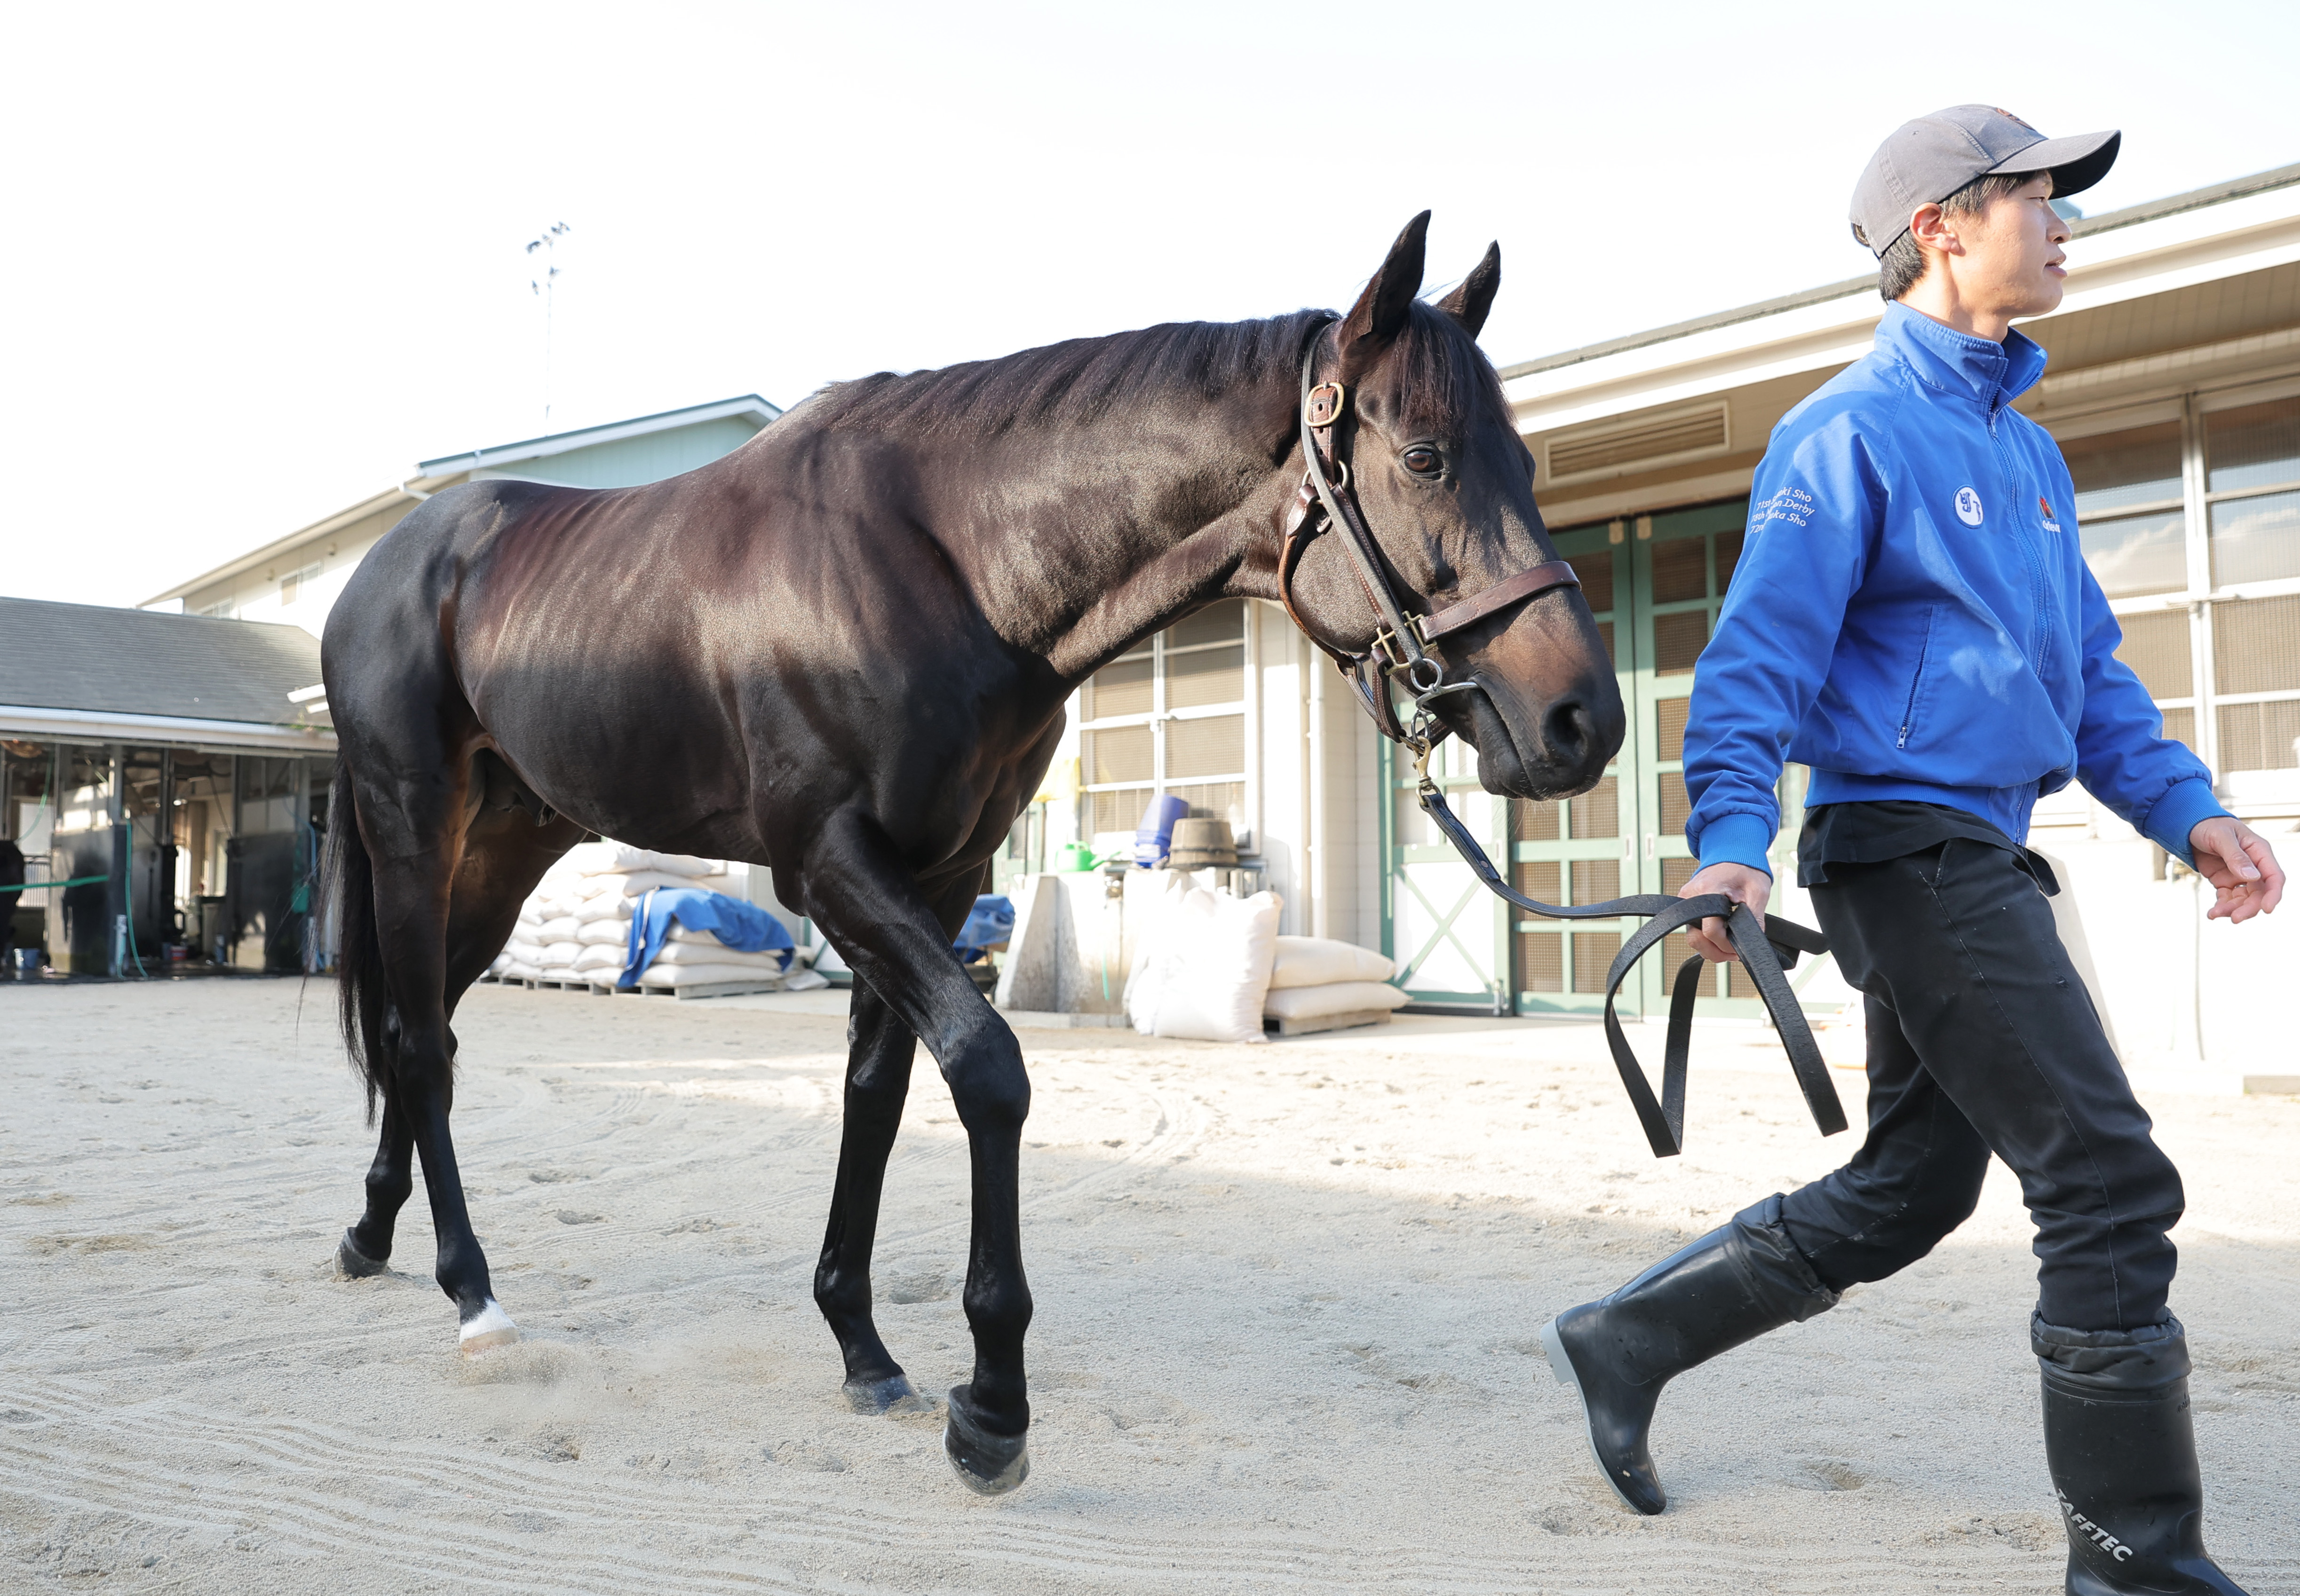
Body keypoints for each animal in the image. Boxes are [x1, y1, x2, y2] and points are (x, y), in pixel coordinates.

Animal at [320, 212, 1626, 1493]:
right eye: (1427, 457)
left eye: (1518, 460)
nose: (1585, 722)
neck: (942, 565)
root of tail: (384, 565)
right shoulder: (827, 862)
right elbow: (988, 1067)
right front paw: (992, 1402)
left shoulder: (941, 874)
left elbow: (878, 1093)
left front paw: (861, 1342)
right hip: (413, 827)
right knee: (417, 1044)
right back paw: (473, 1294)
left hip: (507, 845)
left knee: (430, 1026)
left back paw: (373, 1234)